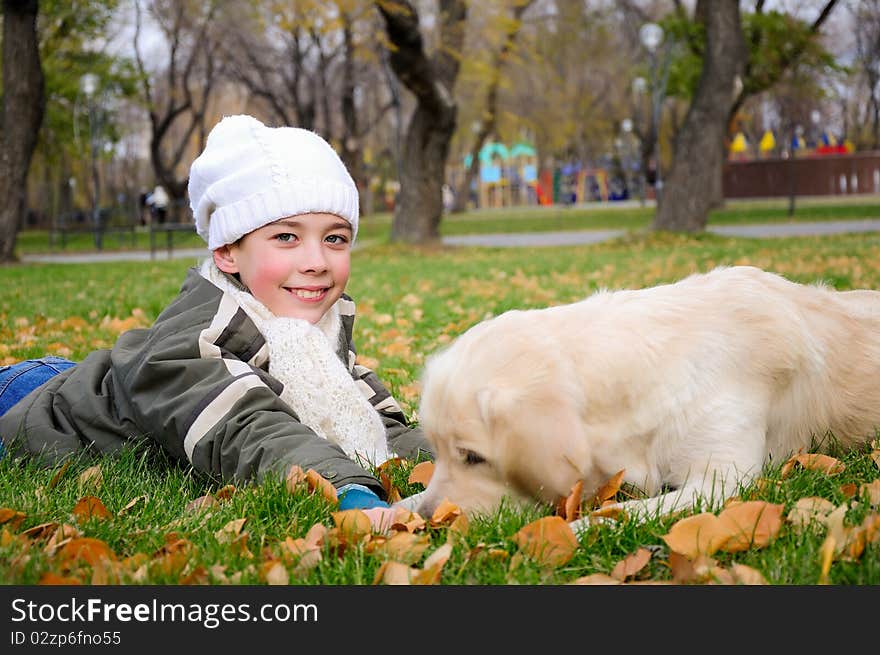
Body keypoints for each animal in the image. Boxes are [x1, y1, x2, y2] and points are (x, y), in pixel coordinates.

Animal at [414, 266, 880, 528]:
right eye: (437, 451)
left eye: (474, 457)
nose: (427, 520)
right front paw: (402, 510)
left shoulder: (720, 481)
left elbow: (617, 513)